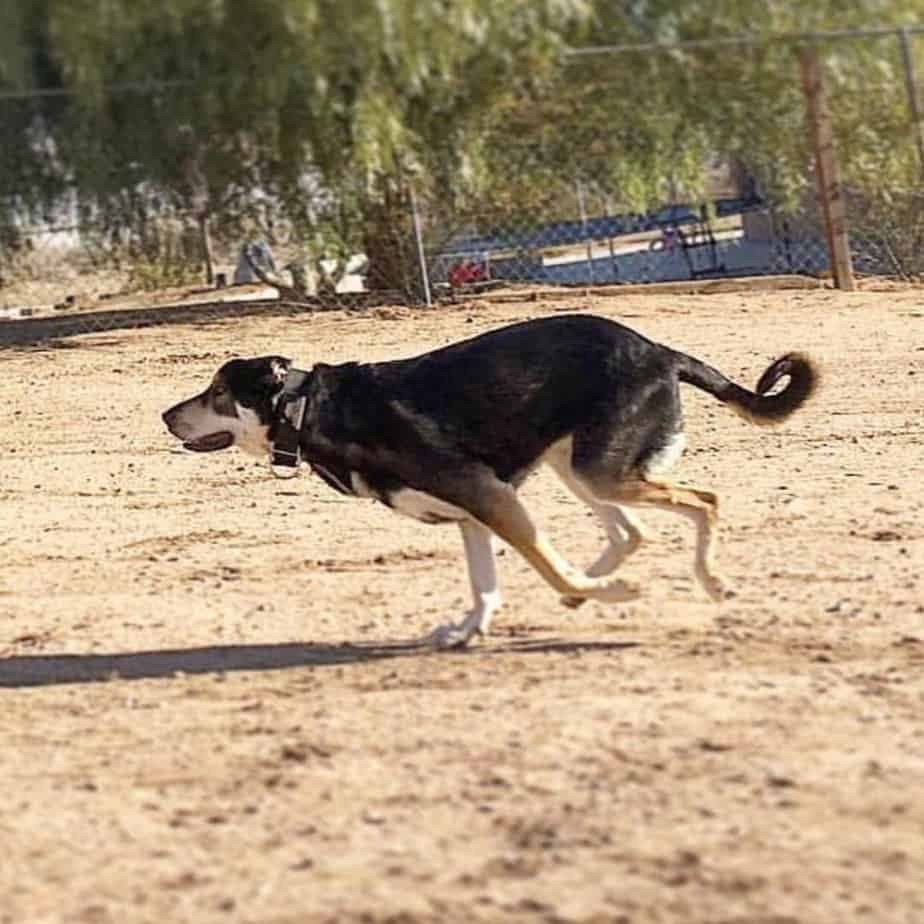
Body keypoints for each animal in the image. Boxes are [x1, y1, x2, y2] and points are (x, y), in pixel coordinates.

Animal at [161, 314, 816, 648]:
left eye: (216, 394)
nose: (165, 416)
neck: (310, 410)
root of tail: (661, 350)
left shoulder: (486, 495)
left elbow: (543, 566)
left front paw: (604, 592)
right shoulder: (474, 512)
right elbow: (486, 585)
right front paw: (469, 629)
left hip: (600, 471)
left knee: (703, 502)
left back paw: (701, 581)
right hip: (581, 468)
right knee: (630, 534)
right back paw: (595, 581)